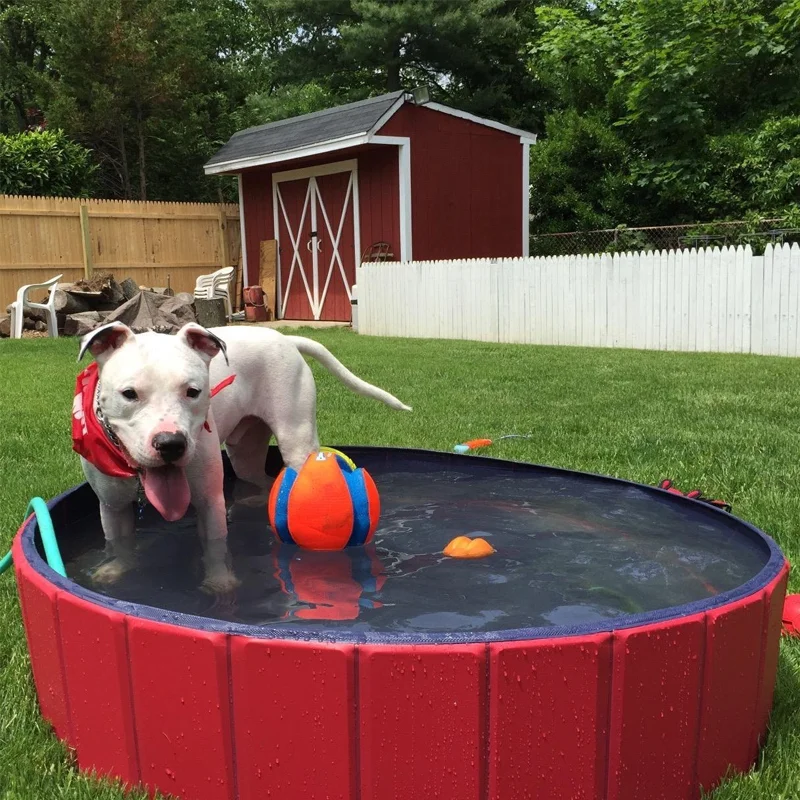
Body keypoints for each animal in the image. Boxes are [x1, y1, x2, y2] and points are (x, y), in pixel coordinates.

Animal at [73, 322, 412, 592]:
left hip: (297, 441)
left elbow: (215, 547)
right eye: (129, 394)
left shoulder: (209, 499)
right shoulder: (112, 506)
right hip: (244, 454)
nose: (171, 444)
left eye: (193, 391)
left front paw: (220, 581)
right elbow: (119, 543)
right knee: (264, 479)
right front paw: (115, 570)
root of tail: (285, 338)